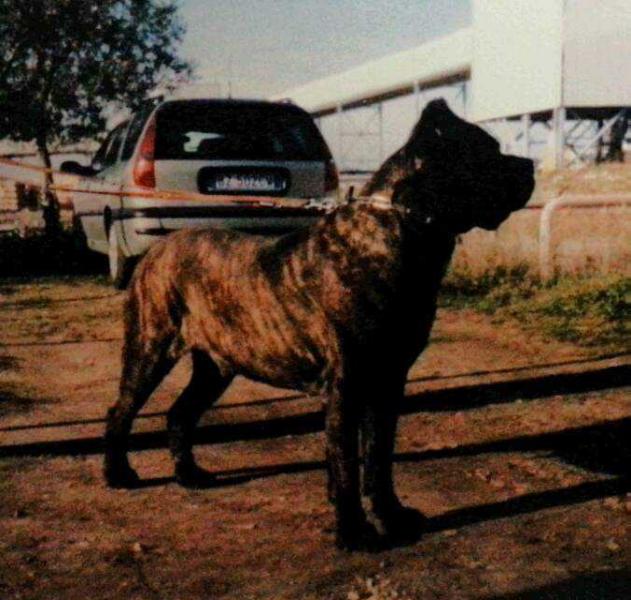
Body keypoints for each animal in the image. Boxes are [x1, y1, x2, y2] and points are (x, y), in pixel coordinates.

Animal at [102, 99, 532, 552]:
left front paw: (392, 519)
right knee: (122, 410)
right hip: (150, 347)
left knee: (180, 413)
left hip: (216, 366)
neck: (398, 233)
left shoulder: (388, 380)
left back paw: (189, 475)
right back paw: (119, 475)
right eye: (488, 150)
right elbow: (346, 463)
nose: (530, 165)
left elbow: (378, 457)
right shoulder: (349, 383)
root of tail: (154, 252)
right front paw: (354, 532)